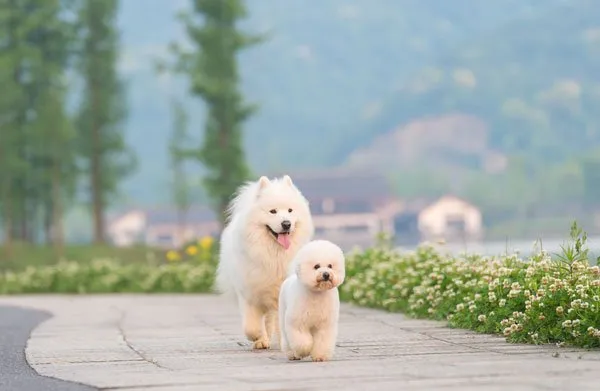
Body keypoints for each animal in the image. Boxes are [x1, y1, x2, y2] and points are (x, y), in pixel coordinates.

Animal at [218, 175, 316, 350]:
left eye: (290, 210)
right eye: (273, 211)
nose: (286, 223)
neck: (275, 257)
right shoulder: (249, 292)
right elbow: (251, 325)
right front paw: (257, 336)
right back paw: (263, 340)